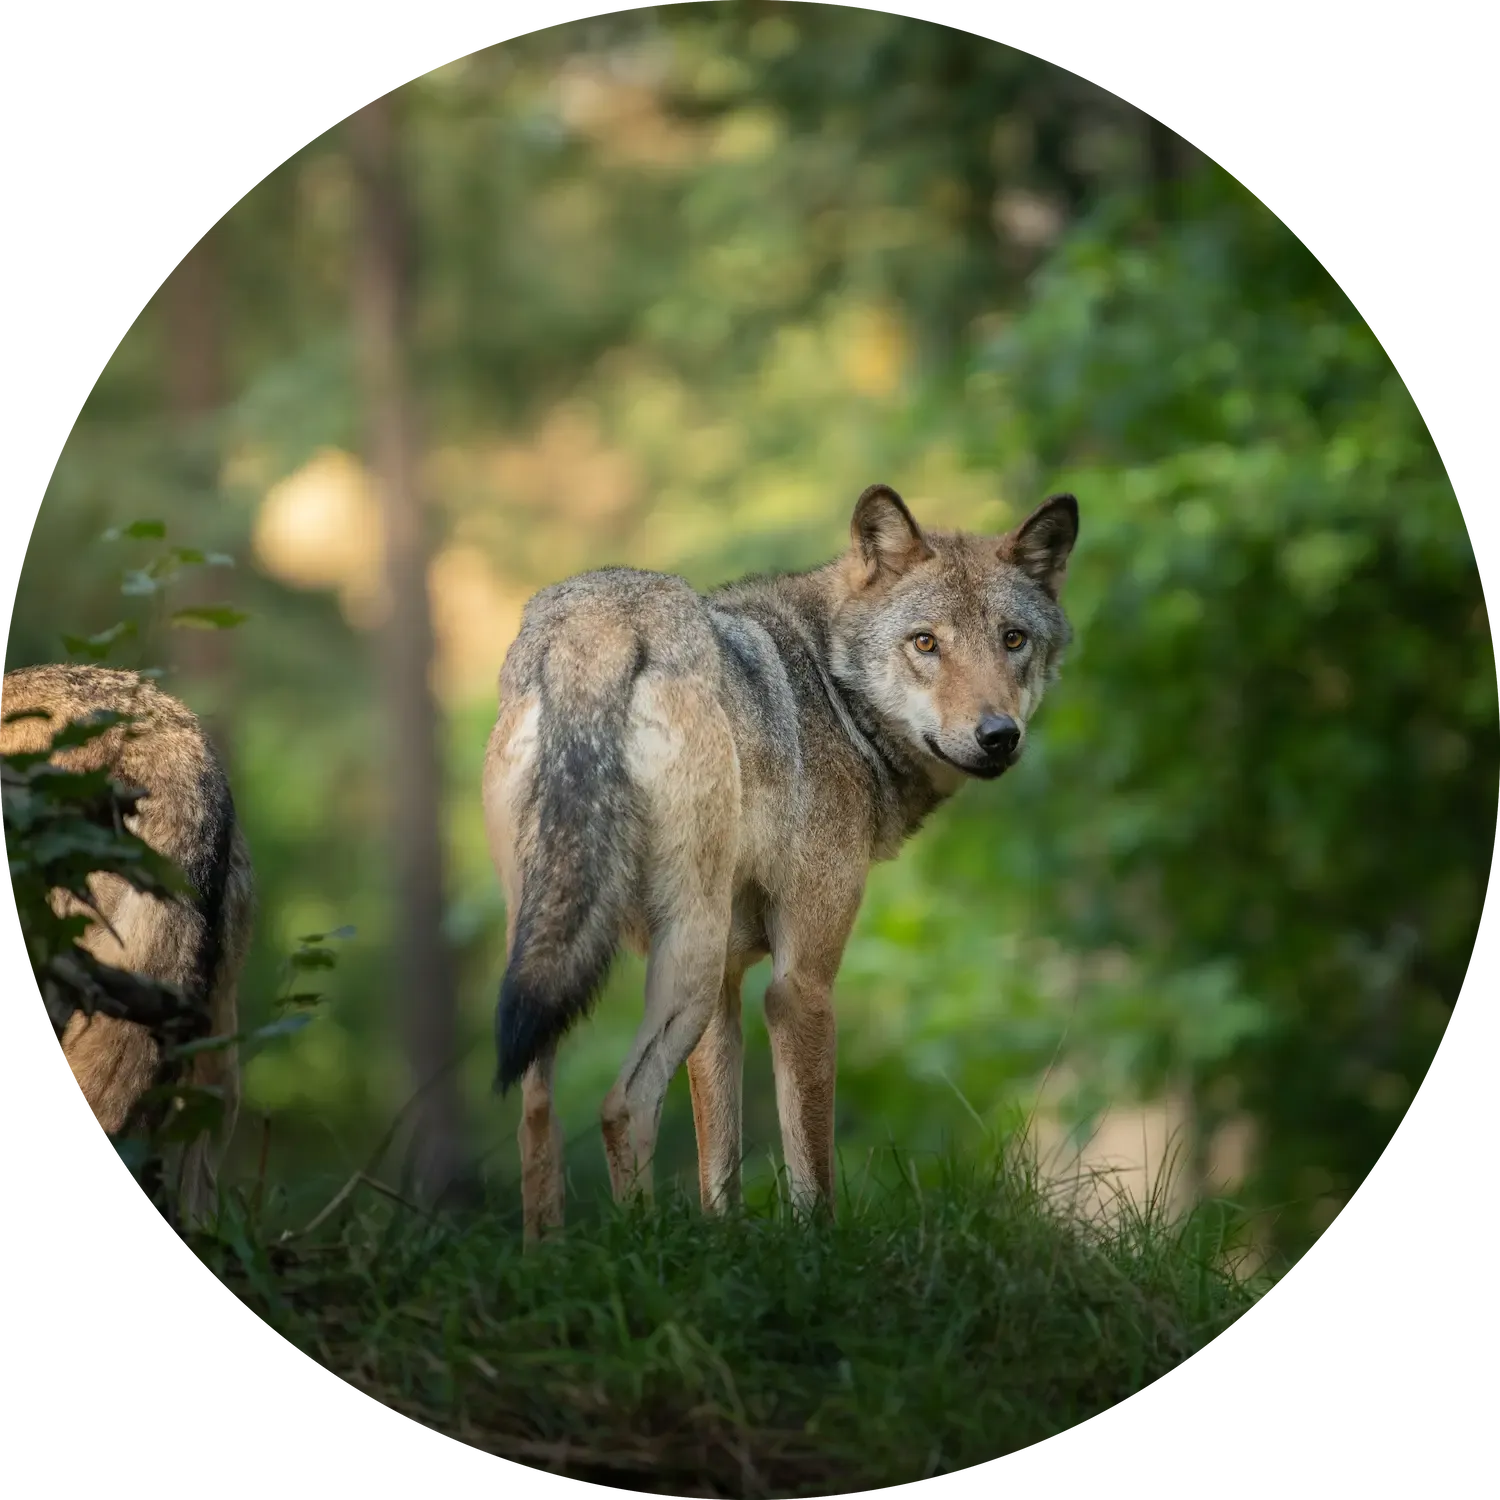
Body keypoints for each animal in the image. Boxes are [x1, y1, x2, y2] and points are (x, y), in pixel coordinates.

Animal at [482, 484, 1078, 1241]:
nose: (999, 736)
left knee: (535, 1114)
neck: (833, 691)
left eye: (1013, 639)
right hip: (688, 956)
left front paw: (724, 1243)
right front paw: (818, 1251)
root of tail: (600, 622)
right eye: (925, 643)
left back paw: (548, 1254)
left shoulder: (729, 990)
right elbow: (810, 1166)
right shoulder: (799, 985)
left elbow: (721, 1166)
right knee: (622, 1105)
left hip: (561, 956)